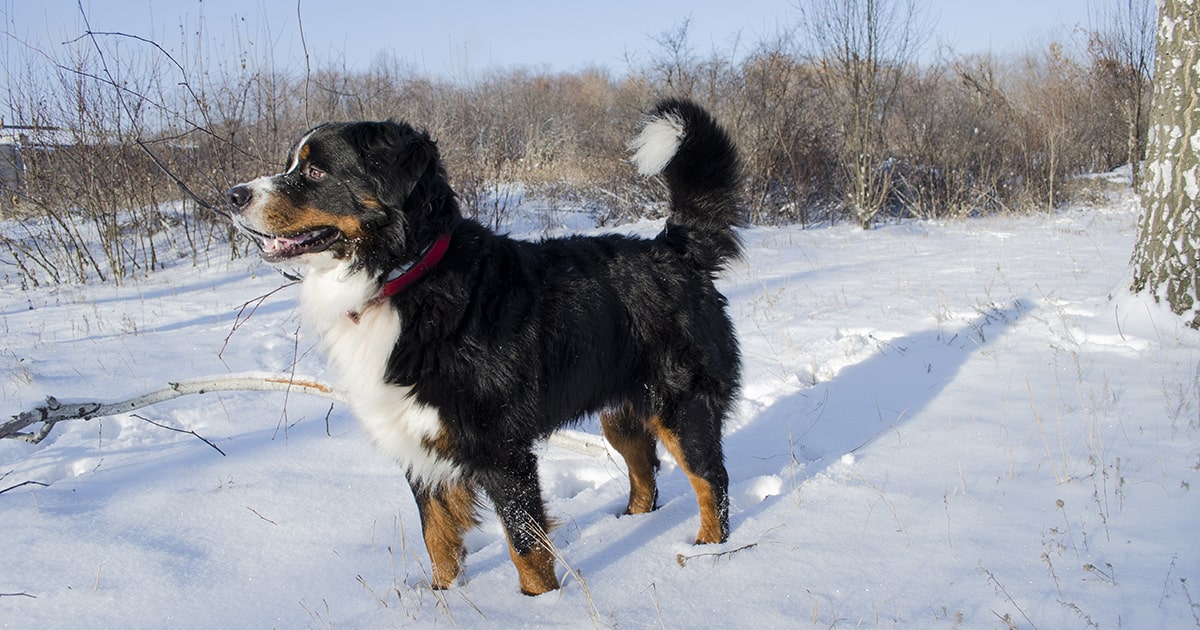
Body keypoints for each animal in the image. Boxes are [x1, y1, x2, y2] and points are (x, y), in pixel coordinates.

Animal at [226, 98, 739, 595]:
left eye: (315, 172)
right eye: (291, 165)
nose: (234, 195)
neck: (404, 279)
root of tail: (674, 248)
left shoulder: (501, 450)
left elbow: (525, 546)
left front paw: (541, 605)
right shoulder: (419, 441)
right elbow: (437, 538)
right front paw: (444, 599)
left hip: (681, 406)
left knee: (711, 480)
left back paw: (707, 551)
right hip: (622, 410)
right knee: (644, 470)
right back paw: (631, 523)